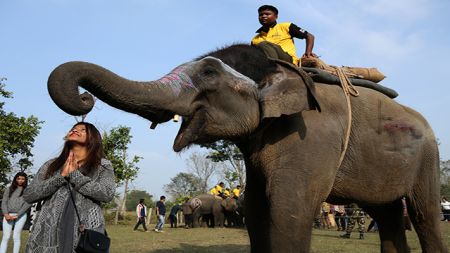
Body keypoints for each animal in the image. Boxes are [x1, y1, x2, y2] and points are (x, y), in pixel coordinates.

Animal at [46, 44, 446, 253]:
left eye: (209, 73)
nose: (84, 100)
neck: (280, 69)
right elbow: (255, 210)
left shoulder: (309, 139)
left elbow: (289, 211)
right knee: (389, 215)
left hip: (429, 157)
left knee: (424, 215)